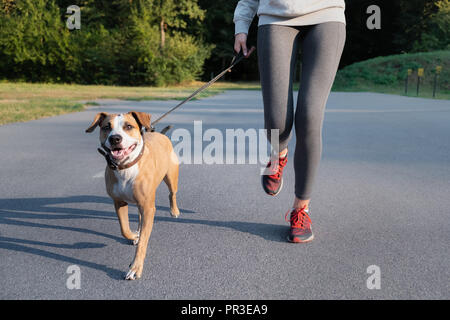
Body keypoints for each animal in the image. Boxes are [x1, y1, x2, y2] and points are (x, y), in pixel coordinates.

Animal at [85, 111, 179, 278]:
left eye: (128, 126)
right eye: (106, 127)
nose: (115, 138)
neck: (125, 167)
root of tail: (160, 135)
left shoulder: (148, 207)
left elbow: (143, 242)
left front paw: (136, 267)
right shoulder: (119, 202)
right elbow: (124, 229)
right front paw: (134, 235)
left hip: (171, 177)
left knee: (172, 193)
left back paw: (174, 211)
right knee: (140, 218)